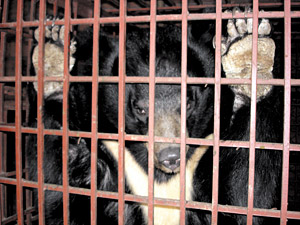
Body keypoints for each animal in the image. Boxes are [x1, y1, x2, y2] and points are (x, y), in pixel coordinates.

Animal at [27, 7, 282, 224]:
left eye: (188, 103)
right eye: (140, 109)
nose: (171, 157)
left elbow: (239, 198)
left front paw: (247, 47)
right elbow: (60, 192)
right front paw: (52, 56)